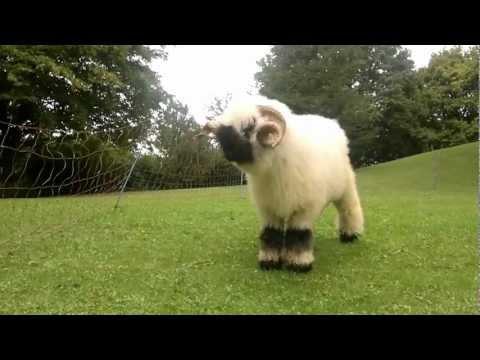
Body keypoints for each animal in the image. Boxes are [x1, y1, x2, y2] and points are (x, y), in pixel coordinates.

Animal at [200, 96, 364, 272]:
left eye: (249, 127)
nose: (228, 153)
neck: (275, 165)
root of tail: (331, 123)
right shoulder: (269, 209)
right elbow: (271, 233)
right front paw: (269, 261)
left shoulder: (303, 209)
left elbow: (299, 234)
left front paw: (299, 264)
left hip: (346, 188)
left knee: (349, 209)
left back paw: (350, 235)